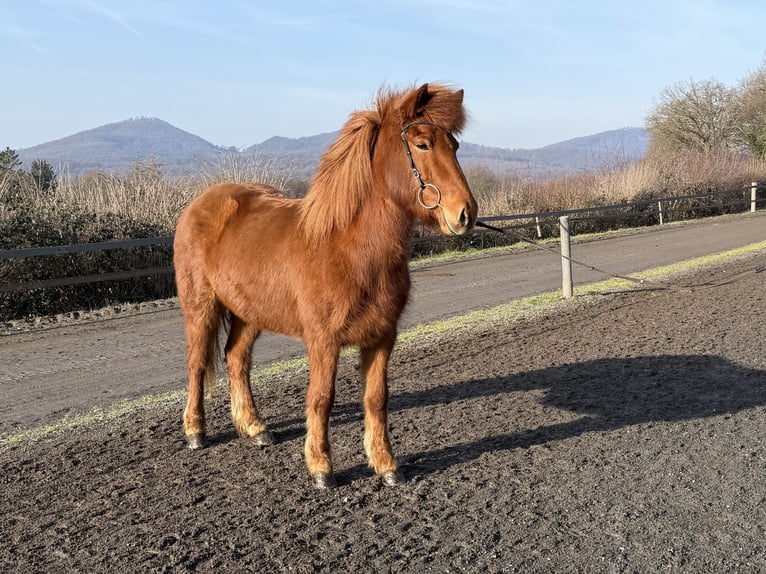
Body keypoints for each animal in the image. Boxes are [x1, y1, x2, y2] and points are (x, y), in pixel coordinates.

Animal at [173, 83, 478, 488]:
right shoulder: (322, 340)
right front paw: (321, 467)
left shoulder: (382, 337)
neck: (349, 247)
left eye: (455, 145)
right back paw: (195, 431)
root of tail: (199, 204)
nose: (465, 213)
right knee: (196, 364)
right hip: (201, 306)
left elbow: (376, 397)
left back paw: (255, 428)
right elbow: (321, 398)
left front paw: (386, 464)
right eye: (423, 144)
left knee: (236, 360)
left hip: (249, 312)